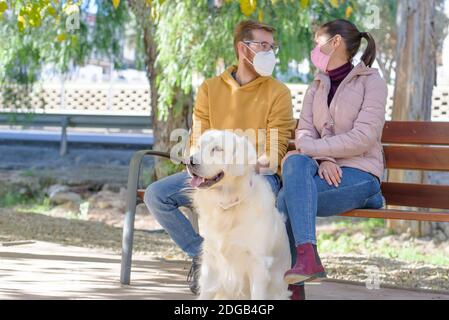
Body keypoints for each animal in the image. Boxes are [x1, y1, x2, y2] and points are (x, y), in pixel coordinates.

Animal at [186, 129, 290, 300]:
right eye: (199, 146)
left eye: (217, 149)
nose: (189, 161)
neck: (229, 204)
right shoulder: (211, 261)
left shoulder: (258, 263)